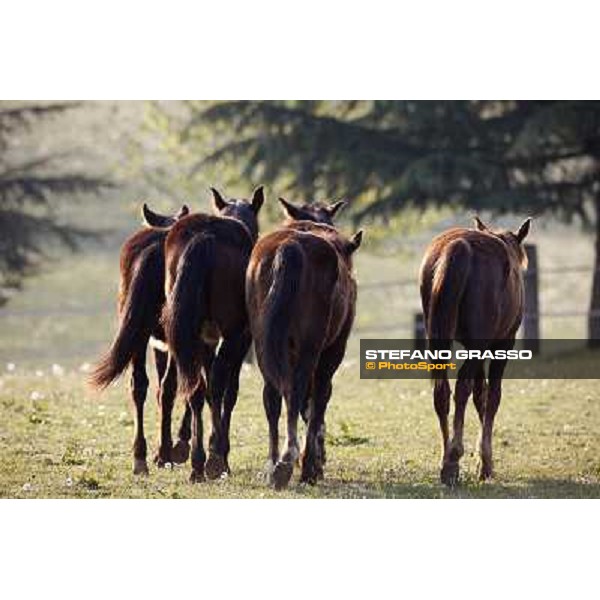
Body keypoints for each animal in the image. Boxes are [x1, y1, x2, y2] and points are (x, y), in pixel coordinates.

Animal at [246, 218, 364, 490]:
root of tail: (290, 247)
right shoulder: (331, 353)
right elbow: (318, 401)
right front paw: (312, 464)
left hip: (265, 347)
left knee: (273, 396)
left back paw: (274, 464)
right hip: (311, 349)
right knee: (296, 391)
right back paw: (291, 459)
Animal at [420, 217, 532, 488]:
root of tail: (459, 247)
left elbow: (480, 395)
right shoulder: (502, 344)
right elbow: (492, 396)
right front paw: (486, 464)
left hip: (438, 337)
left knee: (442, 391)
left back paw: (446, 459)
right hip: (481, 344)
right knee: (462, 387)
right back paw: (453, 459)